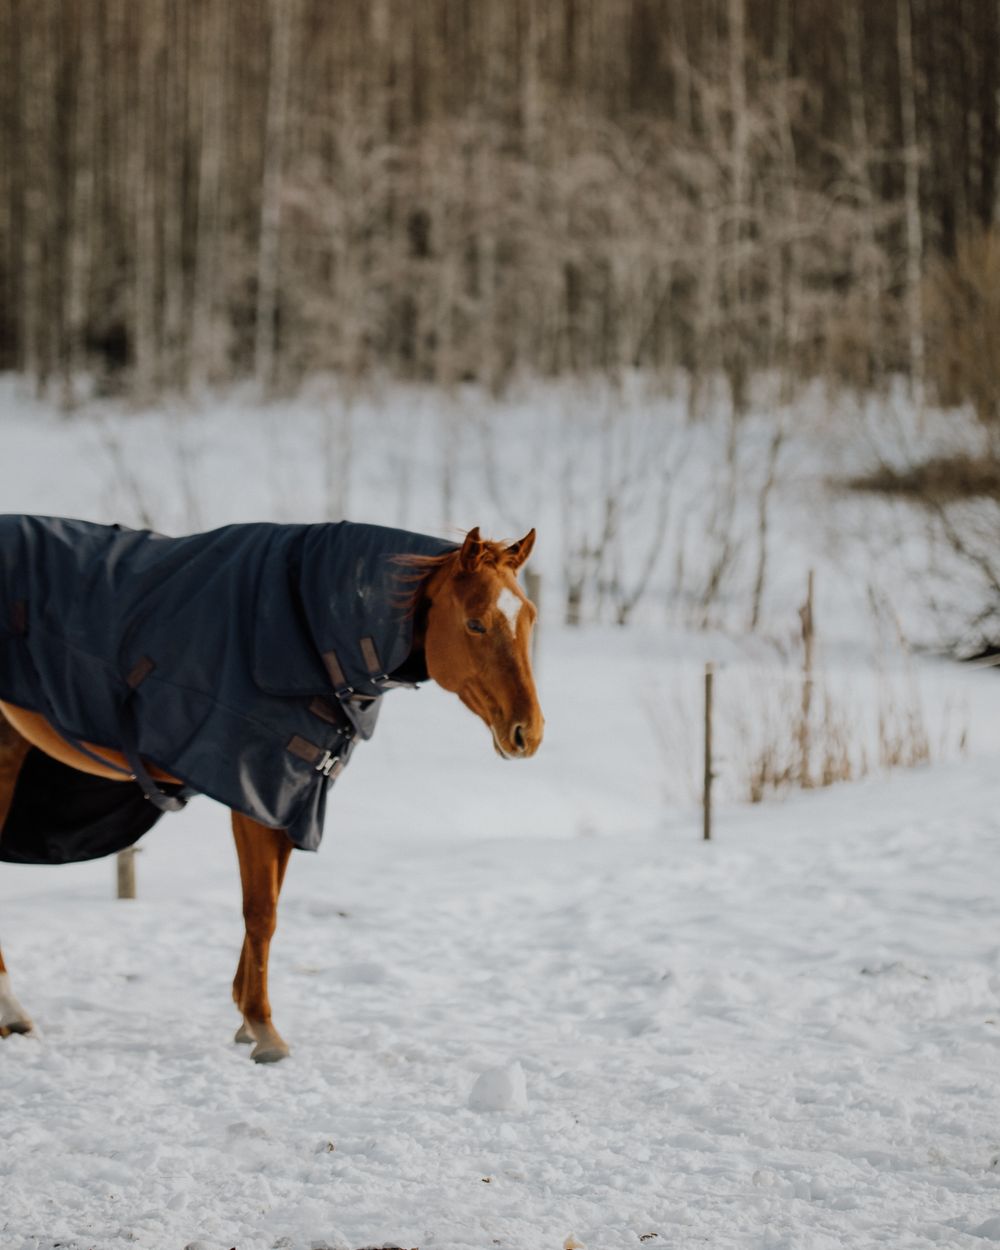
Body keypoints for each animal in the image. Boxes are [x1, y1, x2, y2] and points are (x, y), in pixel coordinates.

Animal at [0, 523, 543, 1061]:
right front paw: (263, 1029)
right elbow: (260, 911)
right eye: (475, 624)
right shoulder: (255, 792)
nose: (528, 733)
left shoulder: (292, 797)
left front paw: (245, 1016)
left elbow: (271, 906)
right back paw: (13, 1013)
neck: (306, 625)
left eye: (531, 618)